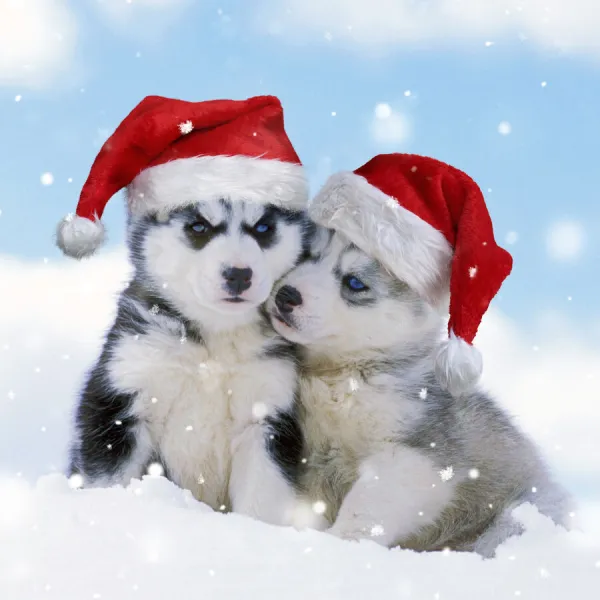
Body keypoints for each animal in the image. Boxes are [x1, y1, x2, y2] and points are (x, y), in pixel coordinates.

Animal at [69, 193, 314, 524]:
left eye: (263, 227)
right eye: (199, 226)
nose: (239, 274)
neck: (212, 347)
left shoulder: (267, 412)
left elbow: (259, 499)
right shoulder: (122, 396)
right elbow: (109, 476)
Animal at [266, 227, 572, 556]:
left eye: (354, 282)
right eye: (306, 255)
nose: (286, 295)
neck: (342, 378)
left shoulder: (414, 454)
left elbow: (369, 504)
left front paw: (341, 542)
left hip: (519, 515)